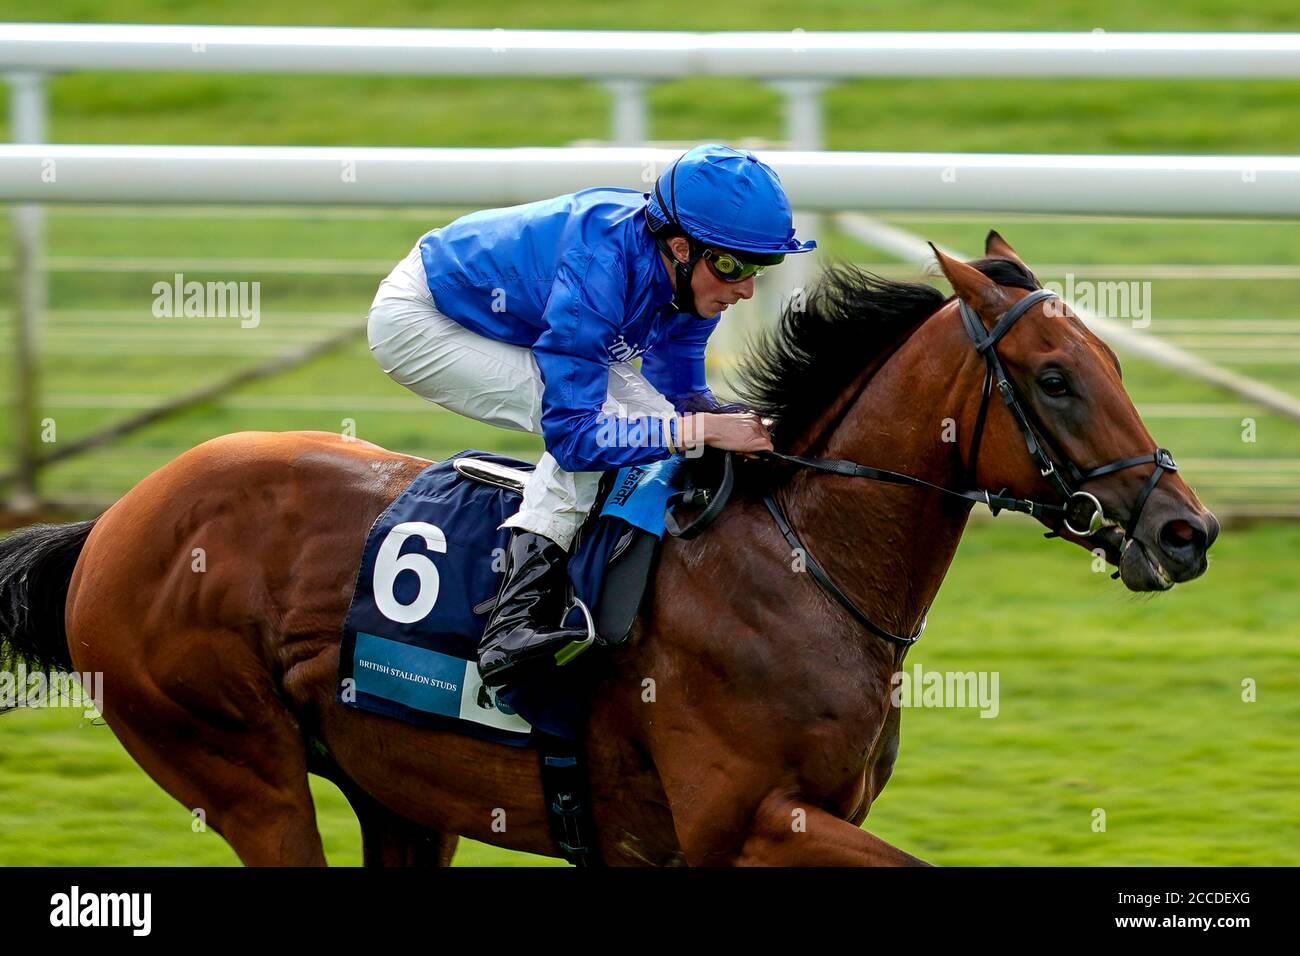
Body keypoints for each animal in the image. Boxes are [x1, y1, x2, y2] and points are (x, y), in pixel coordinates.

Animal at [0, 234, 1216, 868]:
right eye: (1055, 377)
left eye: (1113, 360)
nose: (1185, 528)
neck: (796, 570)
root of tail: (115, 521)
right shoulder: (745, 825)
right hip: (237, 765)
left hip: (396, 792)